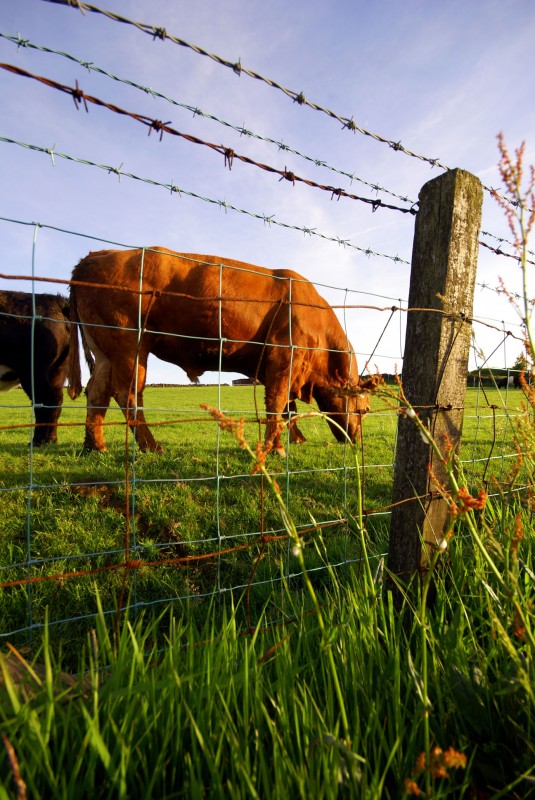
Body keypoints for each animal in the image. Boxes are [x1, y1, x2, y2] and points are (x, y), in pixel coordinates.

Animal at [0, 291, 70, 445]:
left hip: (33, 371)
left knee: (44, 399)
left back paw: (38, 440)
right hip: (58, 371)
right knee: (56, 400)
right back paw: (51, 439)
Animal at [67, 247, 370, 454]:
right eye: (365, 409)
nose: (357, 441)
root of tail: (94, 257)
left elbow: (288, 409)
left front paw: (295, 439)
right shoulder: (283, 359)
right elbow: (277, 404)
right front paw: (277, 448)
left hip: (105, 351)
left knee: (97, 391)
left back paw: (95, 446)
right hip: (129, 345)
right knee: (127, 393)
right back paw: (150, 446)